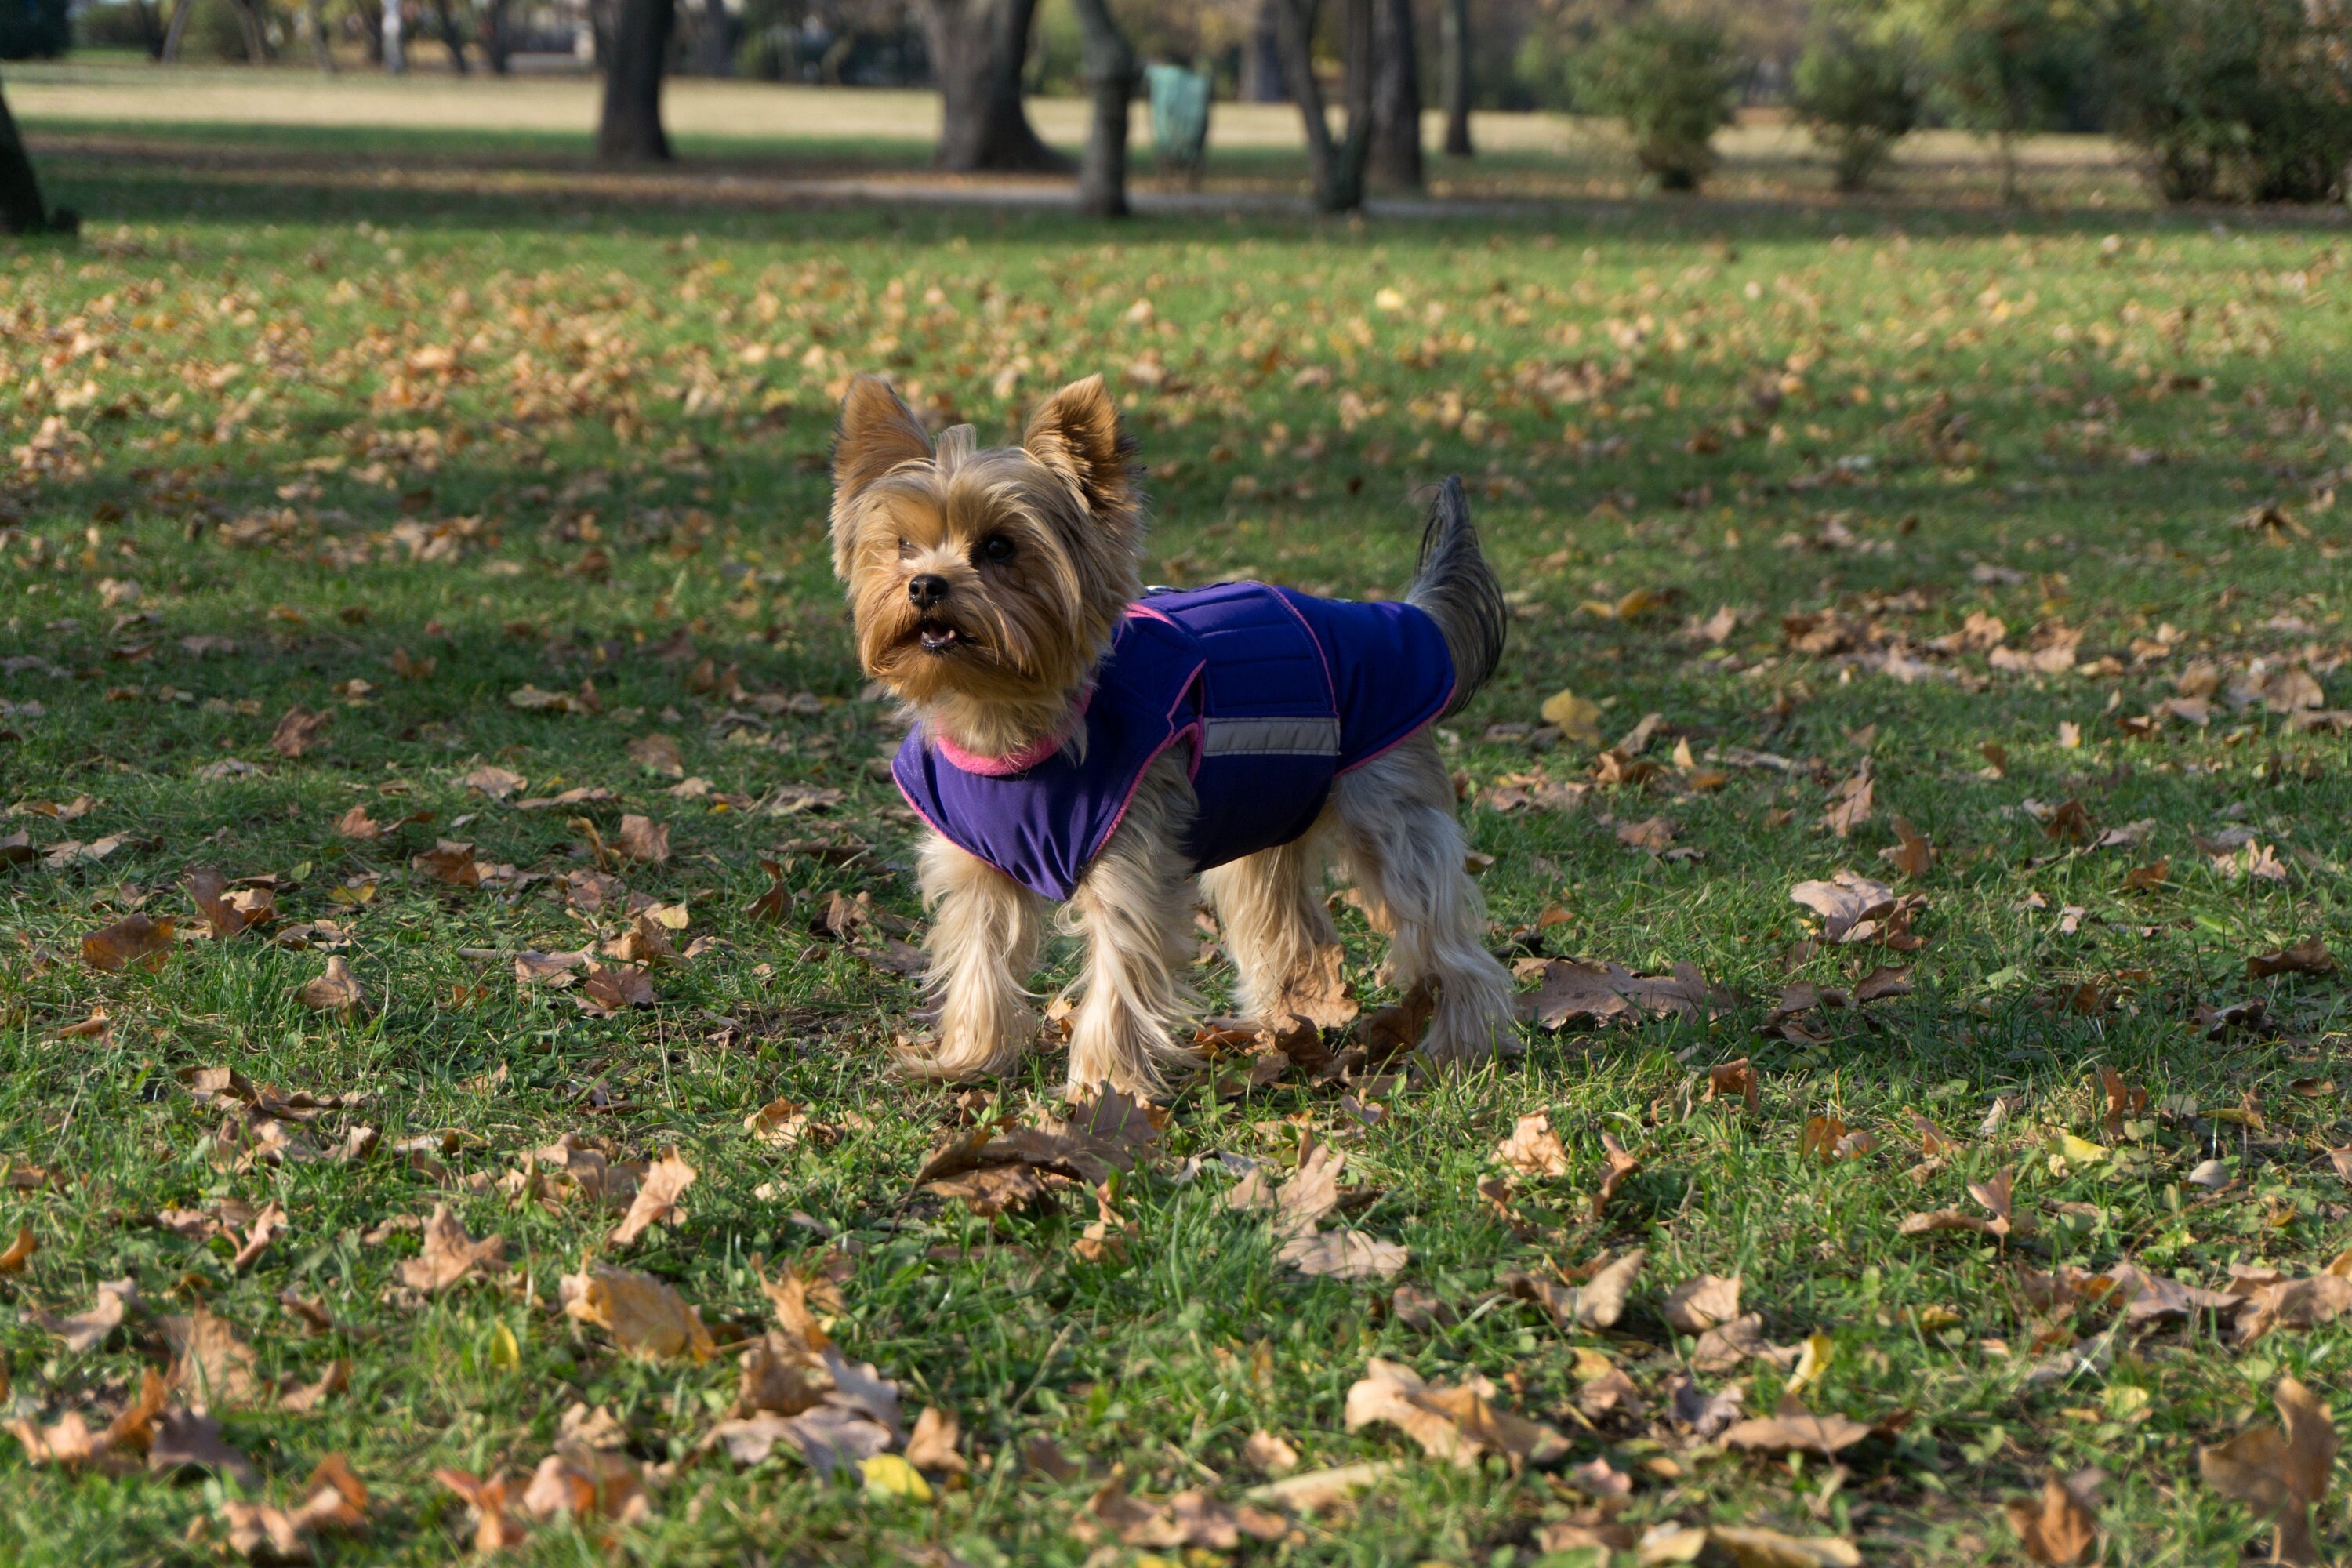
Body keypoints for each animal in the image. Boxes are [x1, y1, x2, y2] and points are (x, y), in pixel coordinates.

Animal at [837, 373, 1515, 1100]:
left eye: (999, 547)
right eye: (903, 545)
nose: (924, 584)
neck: (1002, 715)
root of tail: (1406, 619)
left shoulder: (1131, 858)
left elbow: (1118, 971)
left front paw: (1103, 1090)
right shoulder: (979, 868)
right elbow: (978, 960)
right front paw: (969, 1058)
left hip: (1386, 811)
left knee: (1439, 926)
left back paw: (1462, 1046)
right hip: (1265, 814)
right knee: (1287, 929)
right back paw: (1280, 1030)